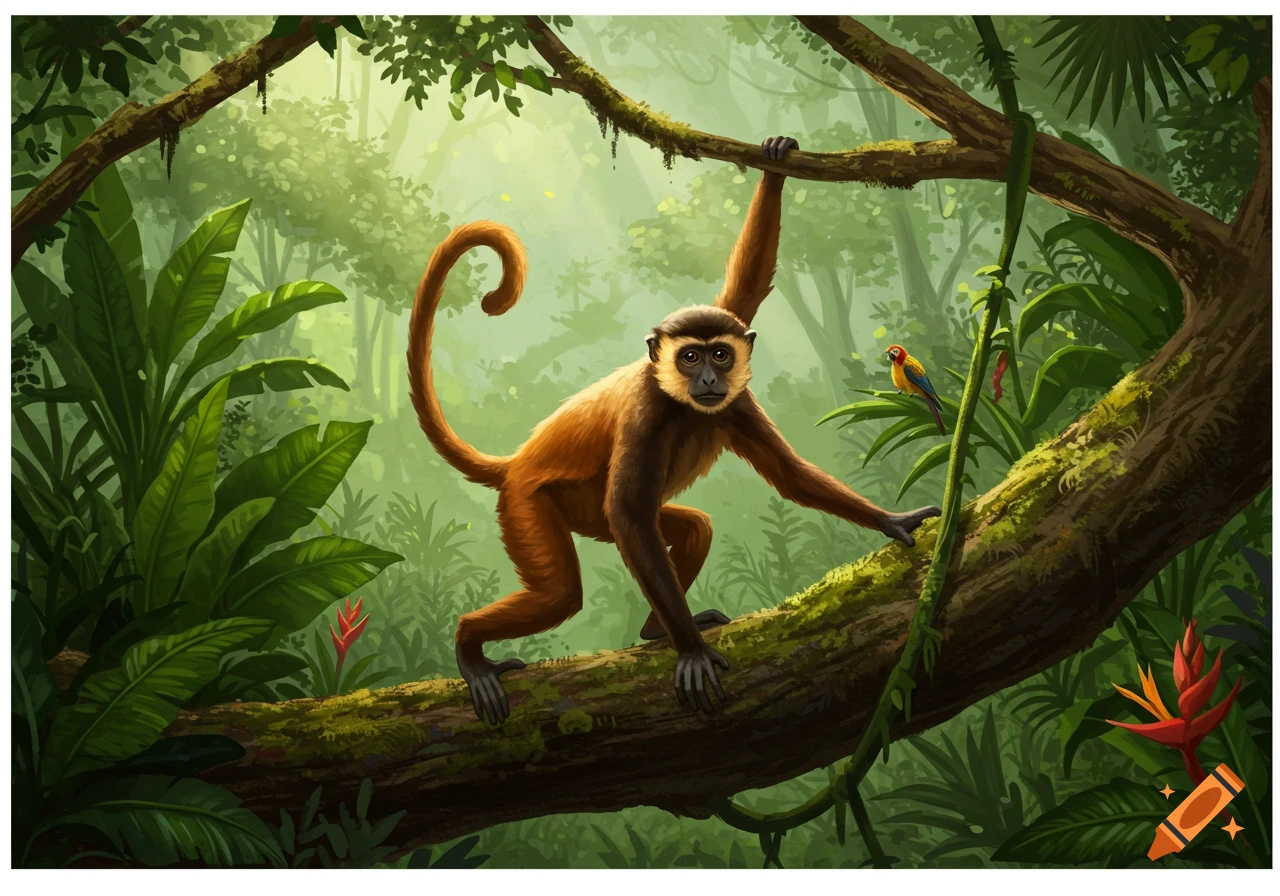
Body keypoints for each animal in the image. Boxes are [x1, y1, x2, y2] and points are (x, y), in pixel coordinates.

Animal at [407, 135, 941, 725]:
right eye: (689, 357)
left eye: (719, 355)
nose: (708, 378)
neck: (685, 405)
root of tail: (518, 461)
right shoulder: (647, 411)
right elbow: (629, 516)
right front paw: (690, 652)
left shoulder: (734, 404)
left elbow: (787, 472)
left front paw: (891, 520)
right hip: (527, 502)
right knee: (563, 594)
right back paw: (469, 645)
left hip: (579, 510)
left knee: (693, 528)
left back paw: (653, 630)